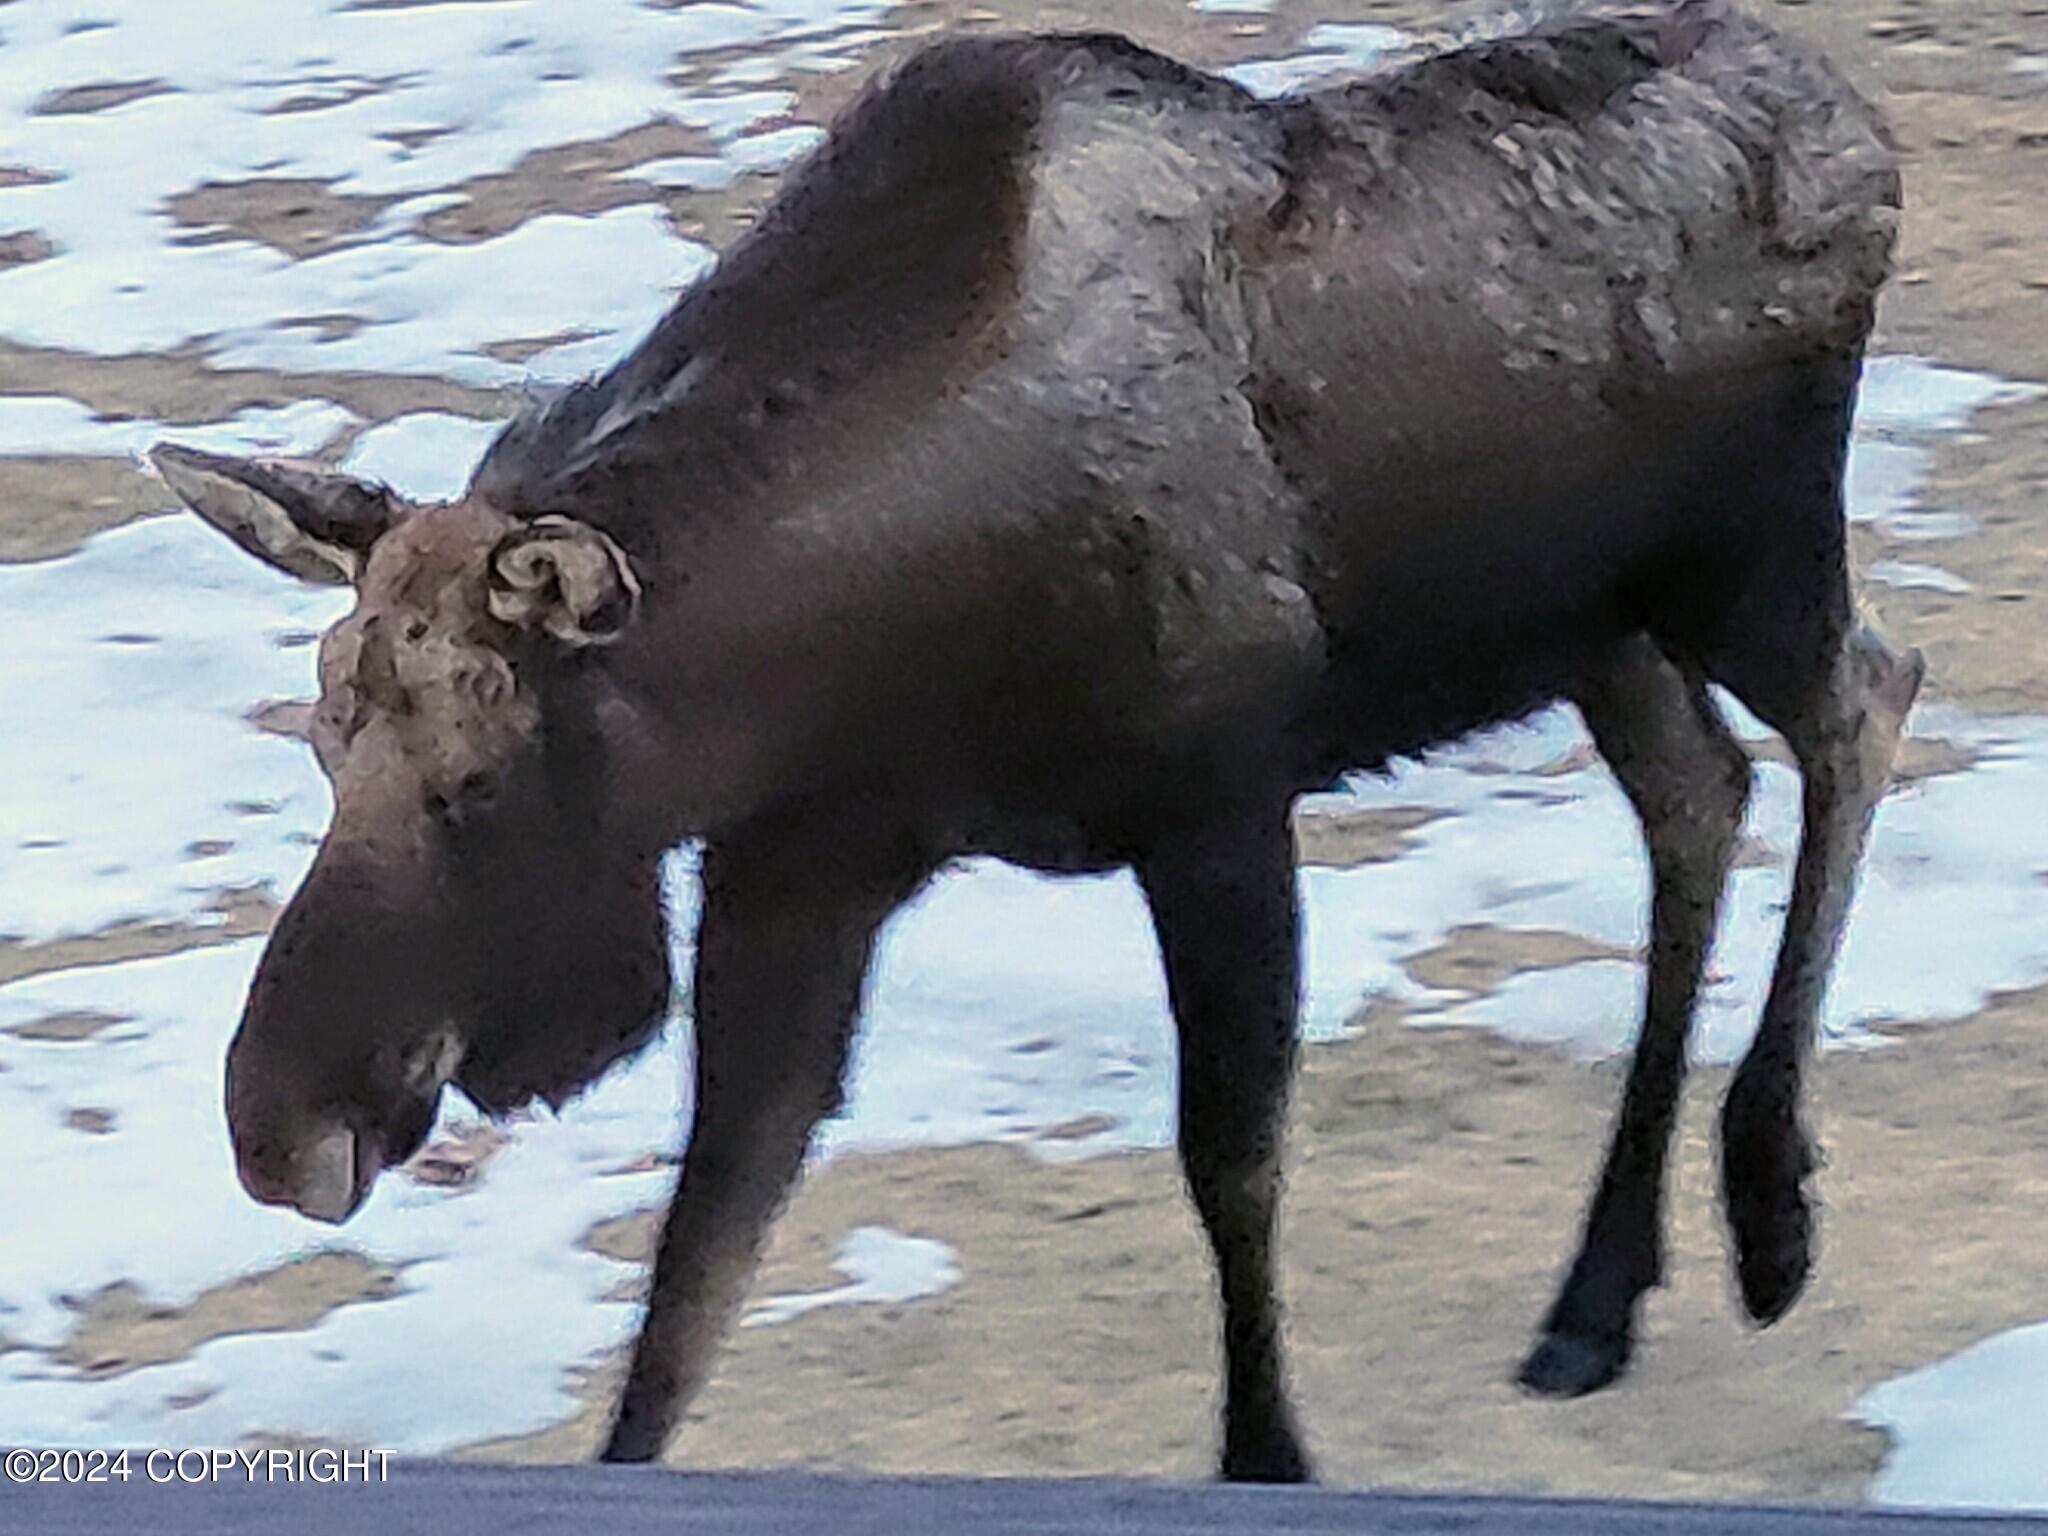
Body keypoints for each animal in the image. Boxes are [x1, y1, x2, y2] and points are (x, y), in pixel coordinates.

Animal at [155, 0, 1916, 1490]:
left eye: (474, 780)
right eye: (320, 746)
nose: (272, 1125)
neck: (859, 656)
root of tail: (1858, 132)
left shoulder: (1218, 800)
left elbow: (1232, 1163)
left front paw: (1270, 1453)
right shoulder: (801, 870)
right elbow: (701, 1254)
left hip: (1746, 563)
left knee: (1865, 701)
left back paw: (1770, 1208)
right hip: (1594, 632)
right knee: (1700, 791)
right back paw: (1598, 1296)